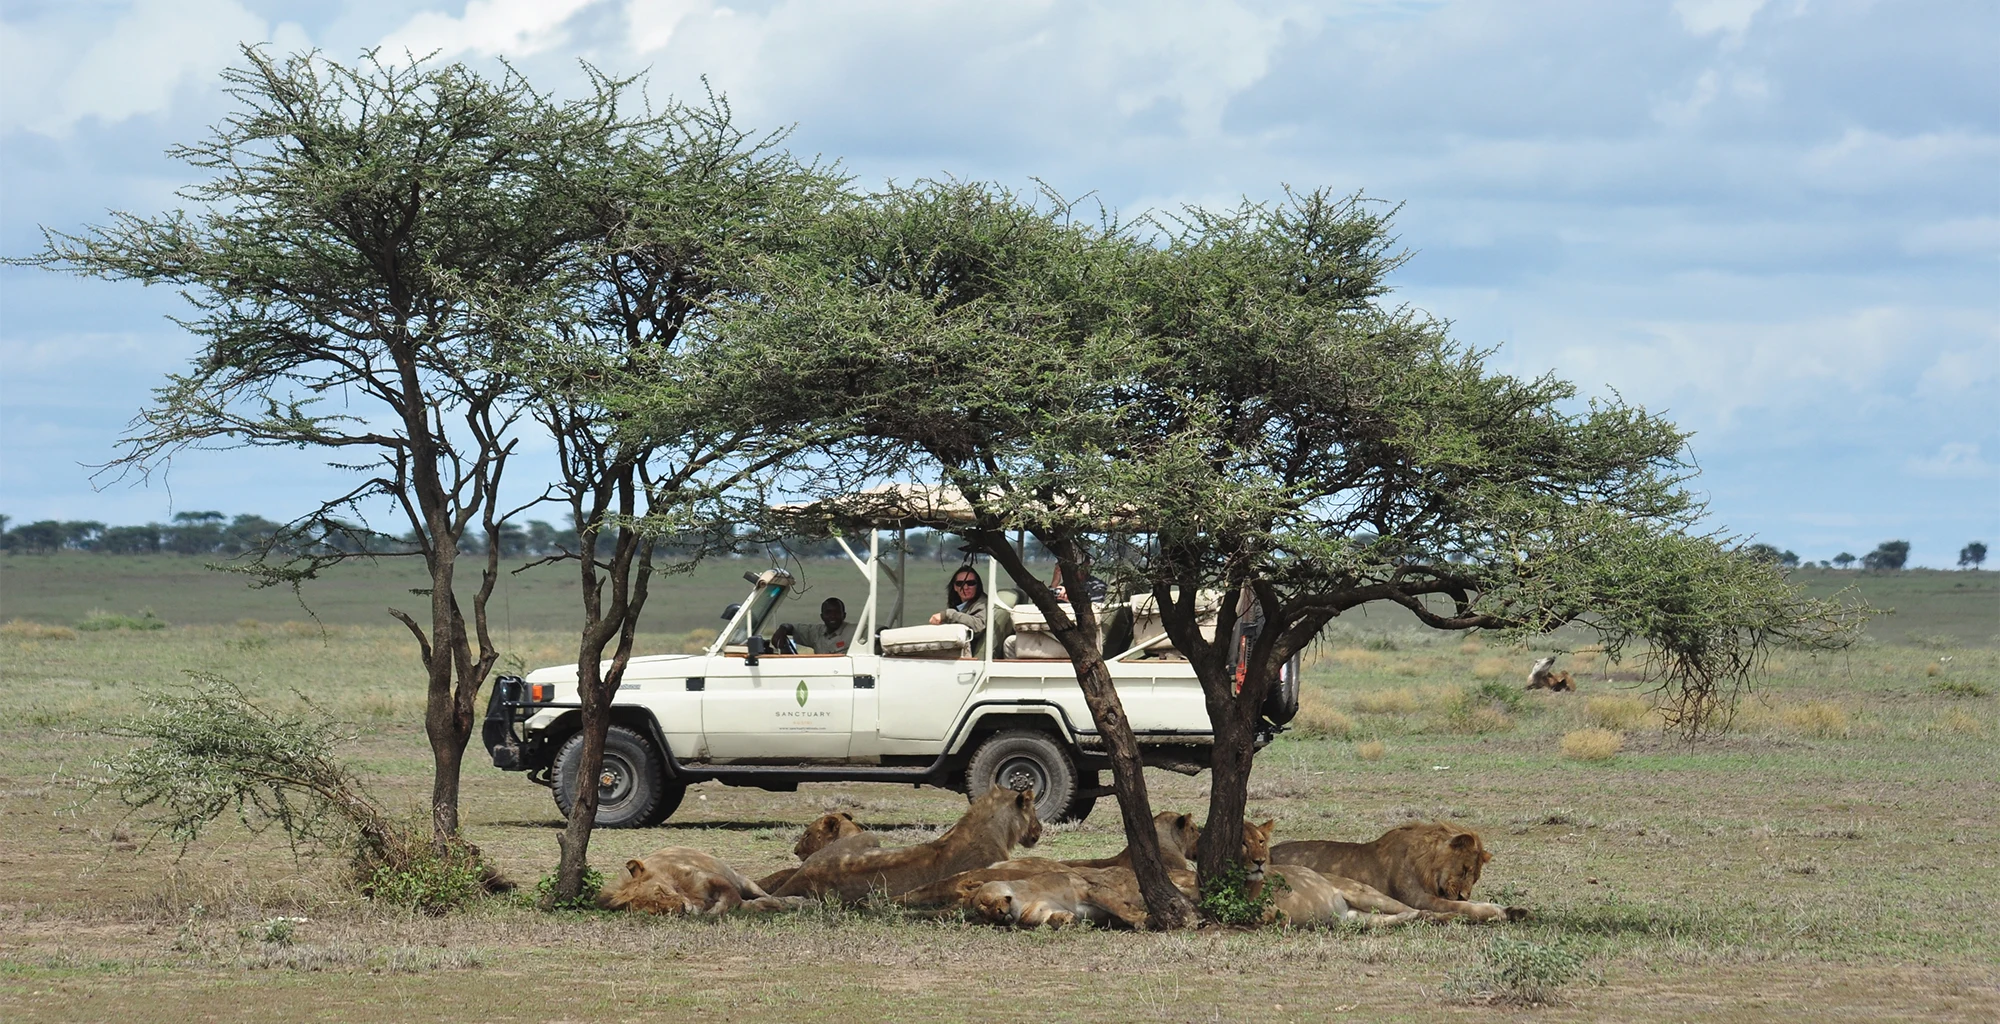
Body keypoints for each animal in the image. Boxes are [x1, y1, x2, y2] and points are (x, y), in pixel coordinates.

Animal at [598, 847, 796, 916]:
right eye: (655, 909)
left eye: (661, 890)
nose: (681, 909)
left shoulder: (714, 879)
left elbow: (731, 899)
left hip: (744, 881)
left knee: (764, 894)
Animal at [1269, 821, 1526, 922]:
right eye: (1464, 870)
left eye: (1476, 877)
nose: (1464, 894)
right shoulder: (1419, 898)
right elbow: (1464, 908)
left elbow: (1477, 904)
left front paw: (1512, 910)